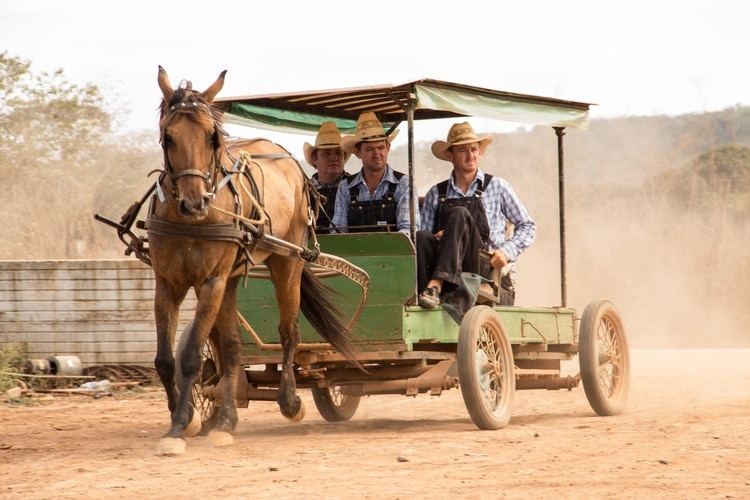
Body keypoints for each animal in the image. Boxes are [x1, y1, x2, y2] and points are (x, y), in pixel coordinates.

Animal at [149, 67, 362, 458]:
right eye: (168, 136)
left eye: (212, 136)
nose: (195, 203)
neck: (191, 222)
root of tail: (285, 157)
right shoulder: (167, 283)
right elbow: (165, 360)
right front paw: (185, 422)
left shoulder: (211, 282)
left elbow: (190, 357)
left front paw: (181, 424)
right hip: (232, 278)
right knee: (232, 347)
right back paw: (225, 421)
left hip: (286, 262)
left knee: (289, 332)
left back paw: (290, 402)